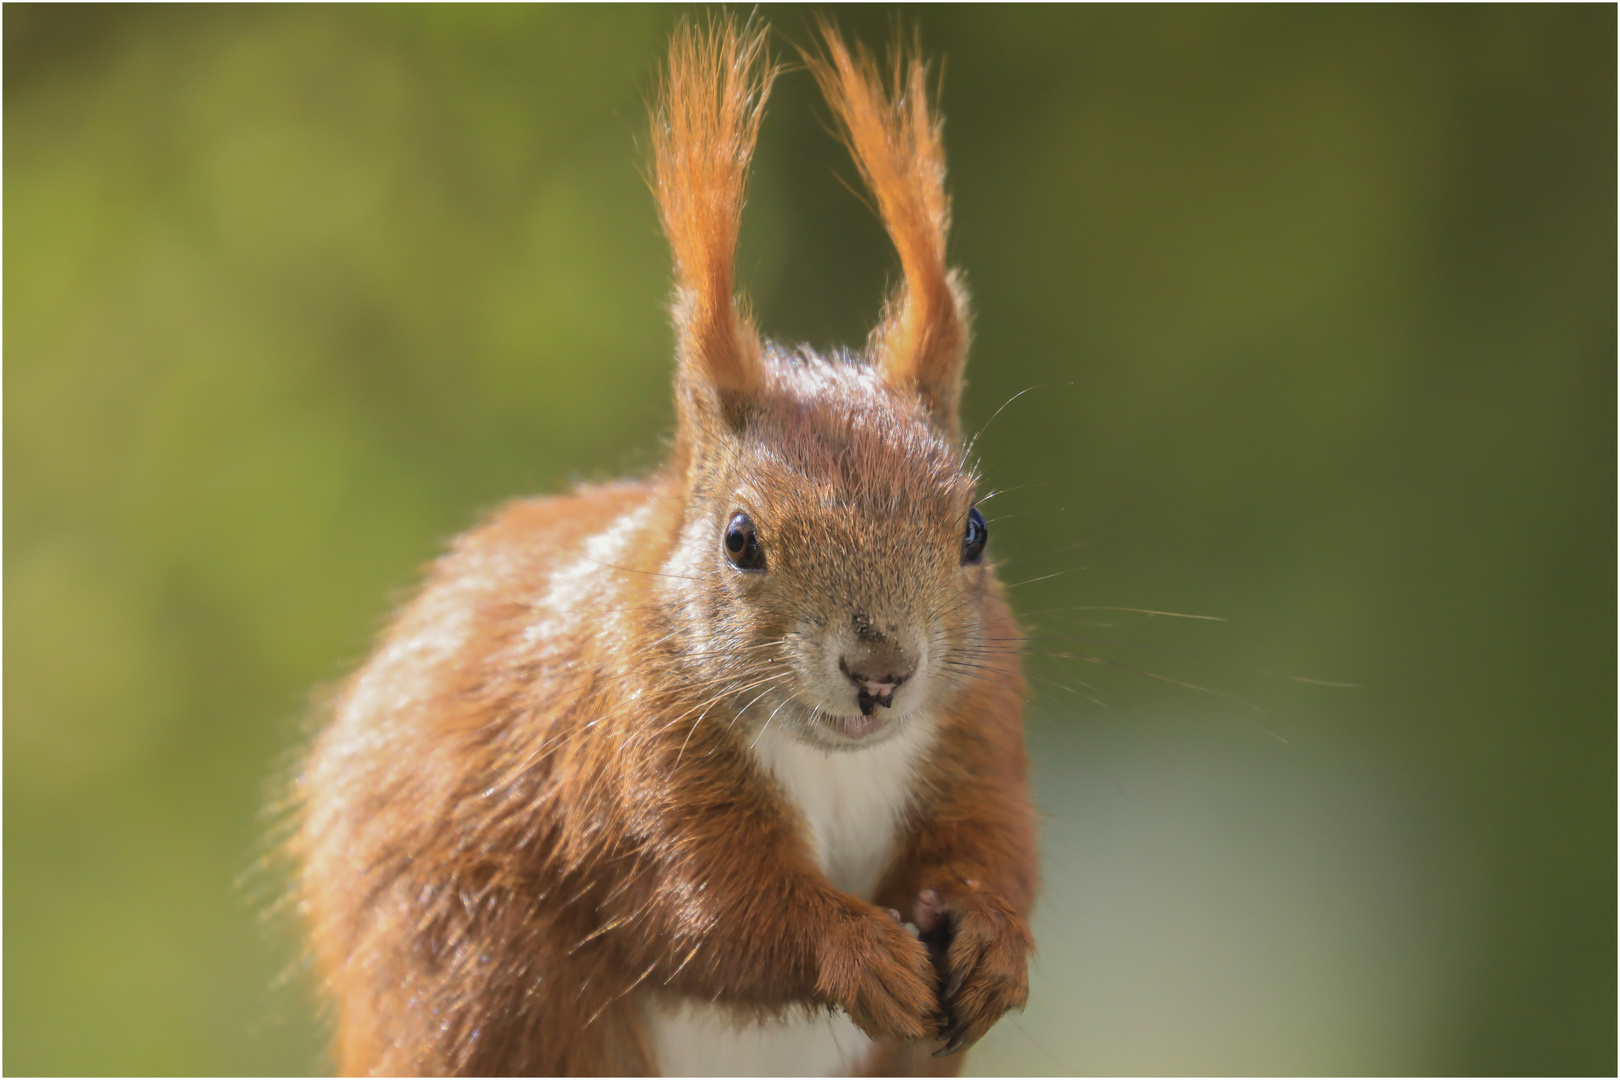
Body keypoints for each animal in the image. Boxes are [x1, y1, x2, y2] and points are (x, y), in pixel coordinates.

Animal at [298, 19, 1036, 1080]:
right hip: (489, 979)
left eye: (975, 530)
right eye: (740, 540)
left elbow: (994, 841)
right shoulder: (625, 756)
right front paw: (855, 952)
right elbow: (709, 908)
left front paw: (993, 937)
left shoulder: (981, 723)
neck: (829, 757)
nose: (883, 671)